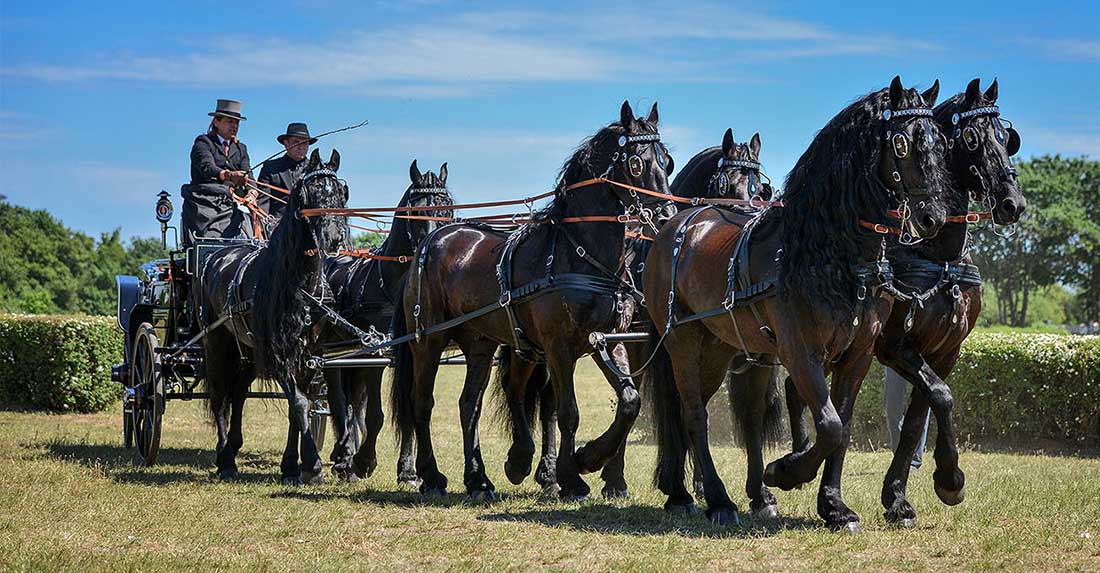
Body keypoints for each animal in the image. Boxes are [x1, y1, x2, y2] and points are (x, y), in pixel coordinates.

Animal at [201, 148, 347, 481]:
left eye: (341, 193)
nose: (334, 237)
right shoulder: (281, 354)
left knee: (238, 391)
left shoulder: (310, 353)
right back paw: (225, 459)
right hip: (217, 341)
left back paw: (233, 445)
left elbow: (299, 406)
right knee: (219, 395)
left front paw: (292, 465)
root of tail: (218, 254)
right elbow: (300, 403)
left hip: (249, 351)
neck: (298, 283)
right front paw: (312, 464)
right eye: (312, 192)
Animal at [321, 159, 453, 477]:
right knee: (339, 400)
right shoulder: (377, 353)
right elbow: (376, 414)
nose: (431, 246)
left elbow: (407, 406)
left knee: (352, 401)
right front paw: (364, 460)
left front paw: (407, 470)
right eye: (414, 211)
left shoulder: (410, 353)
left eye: (447, 209)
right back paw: (344, 454)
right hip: (334, 353)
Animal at [391, 101, 668, 501]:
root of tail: (430, 244)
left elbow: (630, 402)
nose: (665, 216)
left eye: (668, 162)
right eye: (636, 164)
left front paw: (588, 458)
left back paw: (480, 478)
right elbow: (567, 412)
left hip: (481, 342)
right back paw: (431, 476)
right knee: (422, 402)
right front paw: (571, 477)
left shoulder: (609, 340)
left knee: (469, 404)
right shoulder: (557, 347)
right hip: (428, 340)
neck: (579, 253)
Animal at [642, 76, 954, 527]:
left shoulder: (858, 354)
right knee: (693, 415)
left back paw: (743, 495)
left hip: (721, 348)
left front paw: (834, 506)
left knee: (728, 414)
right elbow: (828, 424)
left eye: (939, 140)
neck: (829, 253)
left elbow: (842, 426)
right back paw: (716, 499)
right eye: (901, 142)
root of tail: (675, 226)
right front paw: (786, 471)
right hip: (684, 343)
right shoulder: (799, 350)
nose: (934, 218)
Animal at [778, 78, 1025, 525]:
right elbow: (941, 397)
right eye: (972, 138)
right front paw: (949, 479)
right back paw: (799, 456)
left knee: (796, 386)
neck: (937, 257)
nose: (1013, 203)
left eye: (1006, 138)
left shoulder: (945, 350)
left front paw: (897, 496)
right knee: (798, 386)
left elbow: (919, 416)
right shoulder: (894, 347)